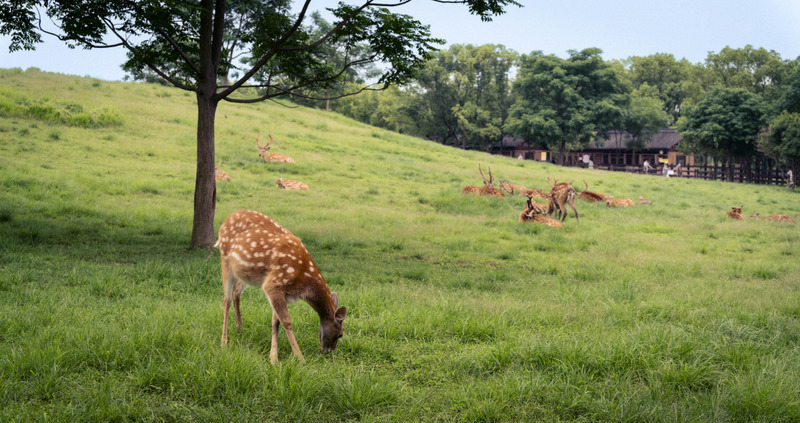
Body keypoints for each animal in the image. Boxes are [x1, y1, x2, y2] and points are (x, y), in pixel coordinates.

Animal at [216, 209, 347, 364]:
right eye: (340, 334)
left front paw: (273, 358)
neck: (305, 278)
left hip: (245, 274)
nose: (328, 352)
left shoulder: (281, 291)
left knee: (236, 293)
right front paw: (300, 358)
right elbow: (286, 321)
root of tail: (225, 220)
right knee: (226, 300)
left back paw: (240, 328)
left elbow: (275, 322)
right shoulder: (274, 283)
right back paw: (224, 343)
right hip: (225, 260)